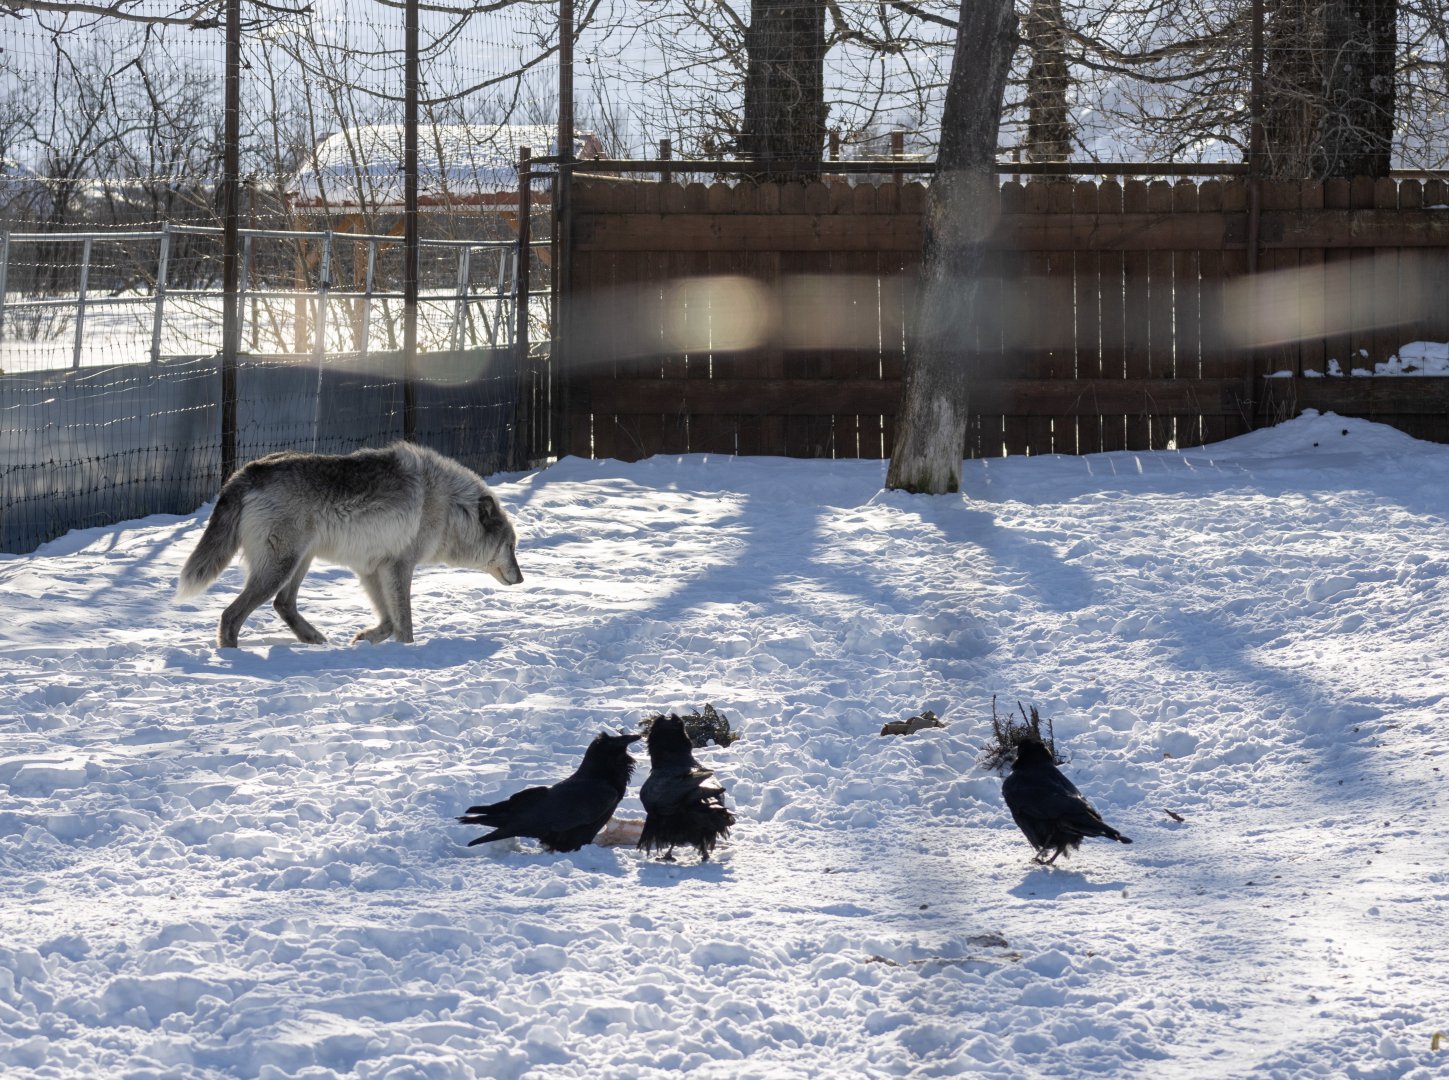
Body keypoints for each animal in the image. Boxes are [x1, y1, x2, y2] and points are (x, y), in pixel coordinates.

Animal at [175, 442, 522, 648]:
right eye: (511, 546)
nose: (521, 578)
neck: (449, 506)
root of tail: (246, 472)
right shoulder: (399, 567)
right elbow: (405, 624)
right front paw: (407, 653)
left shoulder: (372, 570)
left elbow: (388, 621)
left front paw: (366, 638)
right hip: (280, 568)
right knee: (230, 615)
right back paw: (234, 657)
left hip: (300, 562)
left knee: (282, 604)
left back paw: (314, 639)